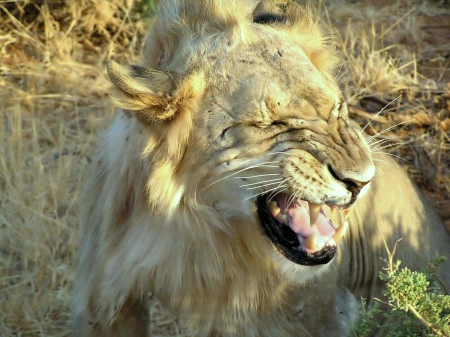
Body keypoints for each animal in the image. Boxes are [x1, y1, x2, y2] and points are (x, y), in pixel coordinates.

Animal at [71, 1, 450, 334]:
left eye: (337, 108)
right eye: (270, 123)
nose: (361, 182)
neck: (192, 225)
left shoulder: (309, 315)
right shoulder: (103, 297)